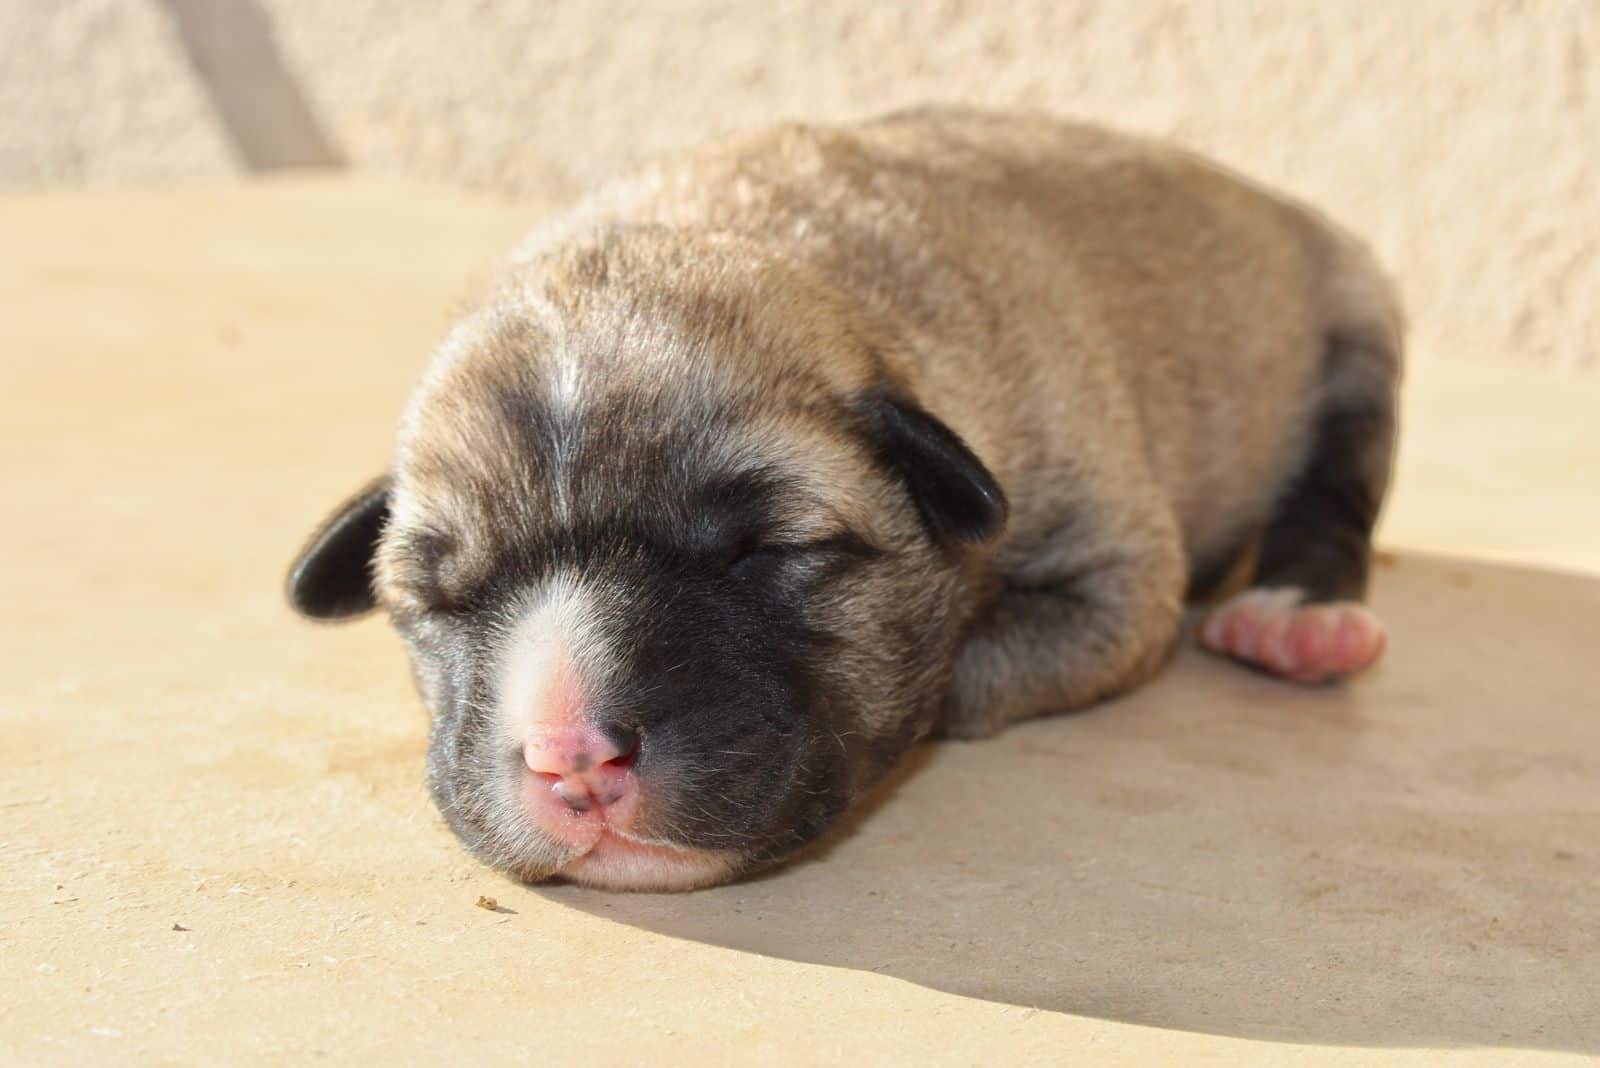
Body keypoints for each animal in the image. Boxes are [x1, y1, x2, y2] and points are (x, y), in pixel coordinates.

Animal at [288, 108, 1401, 895]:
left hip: (1355, 328)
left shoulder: (1115, 569)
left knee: (1337, 492)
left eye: (766, 549)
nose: (570, 758)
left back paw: (1298, 619)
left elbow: (978, 670)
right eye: (438, 598)